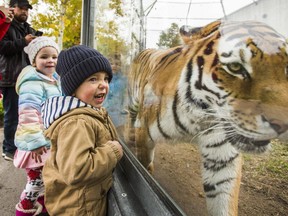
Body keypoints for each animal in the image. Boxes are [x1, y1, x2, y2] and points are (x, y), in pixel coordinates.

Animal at [126, 19, 288, 216]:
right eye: (235, 67)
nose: (283, 123)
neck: (198, 117)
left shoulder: (223, 158)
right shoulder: (145, 133)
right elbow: (143, 167)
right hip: (133, 101)